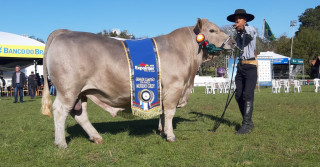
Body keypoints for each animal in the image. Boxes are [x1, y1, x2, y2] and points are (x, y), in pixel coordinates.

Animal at [41, 18, 236, 149]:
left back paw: (96, 137)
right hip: (68, 89)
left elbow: (162, 112)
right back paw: (61, 143)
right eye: (212, 30)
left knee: (80, 114)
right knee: (60, 110)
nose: (233, 42)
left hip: (81, 93)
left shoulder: (163, 91)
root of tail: (64, 31)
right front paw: (171, 135)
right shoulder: (174, 87)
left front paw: (162, 131)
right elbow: (170, 112)